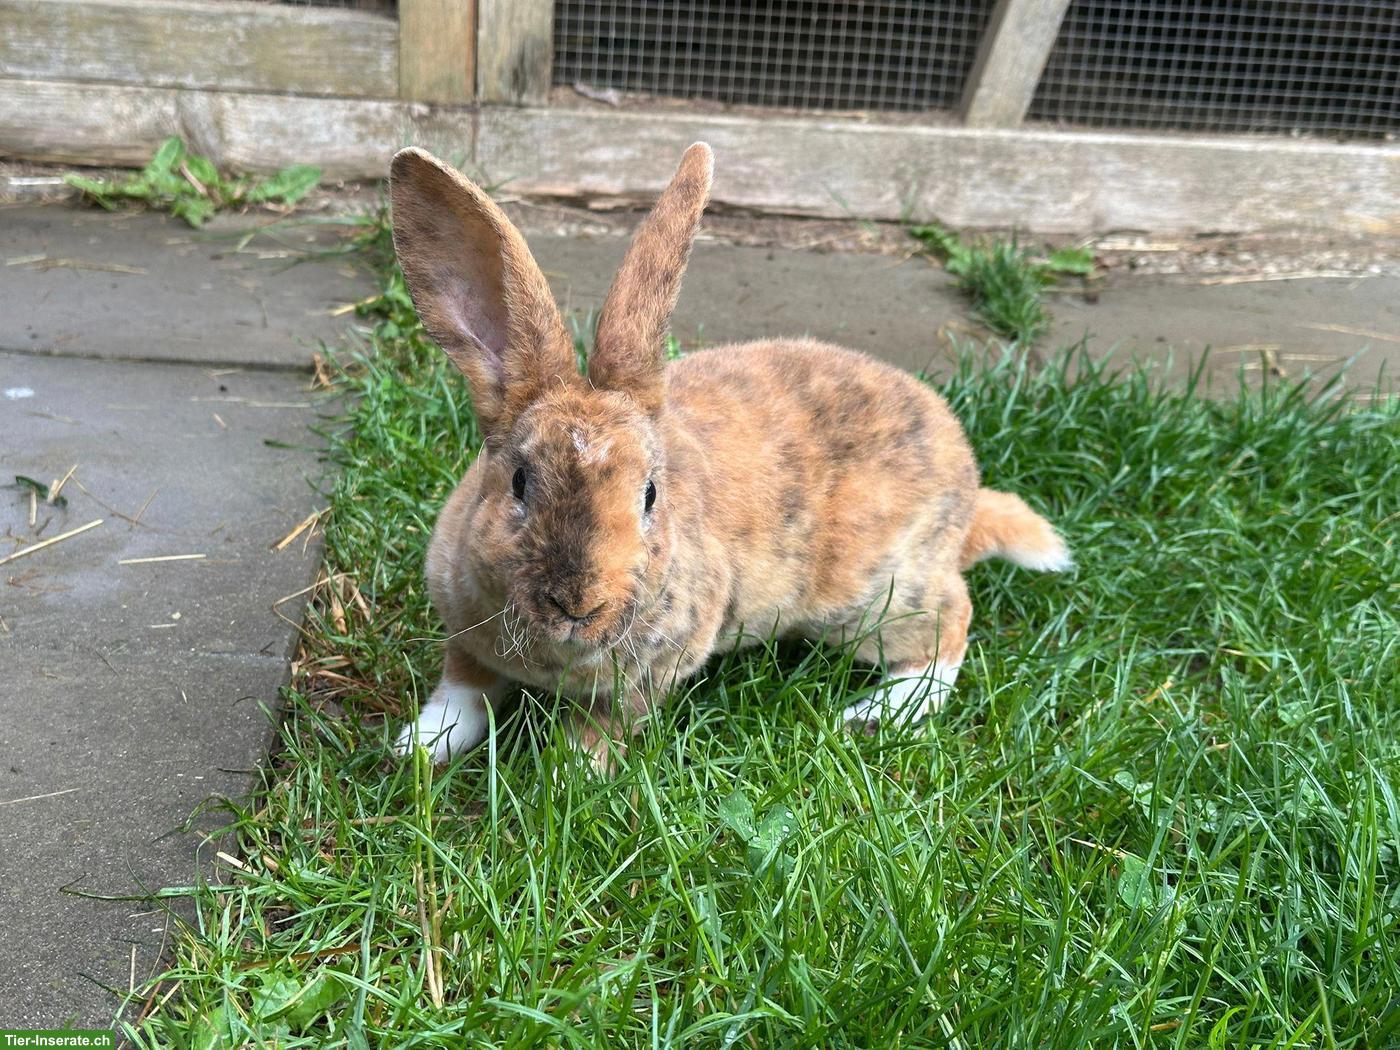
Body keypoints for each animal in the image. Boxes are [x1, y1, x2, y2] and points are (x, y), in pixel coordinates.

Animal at [388, 142, 1071, 772]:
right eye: (519, 482)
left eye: (650, 495)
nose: (577, 603)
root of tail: (968, 492)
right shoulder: (464, 638)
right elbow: (464, 691)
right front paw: (419, 749)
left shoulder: (650, 676)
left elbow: (600, 729)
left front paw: (571, 777)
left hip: (876, 600)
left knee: (950, 622)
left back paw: (877, 713)